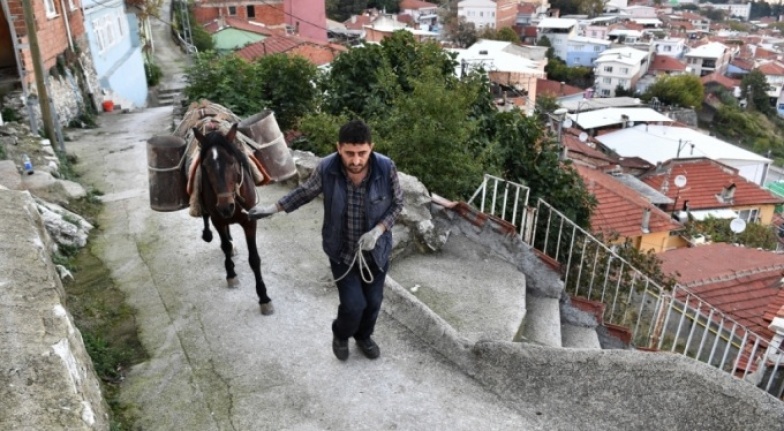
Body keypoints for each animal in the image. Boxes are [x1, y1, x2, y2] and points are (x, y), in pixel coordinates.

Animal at [191, 123, 274, 316]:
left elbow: (254, 259)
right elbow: (225, 247)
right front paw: (231, 274)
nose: (225, 206)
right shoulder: (218, 220)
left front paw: (264, 297)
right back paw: (208, 234)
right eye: (205, 165)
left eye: (231, 161)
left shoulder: (250, 221)